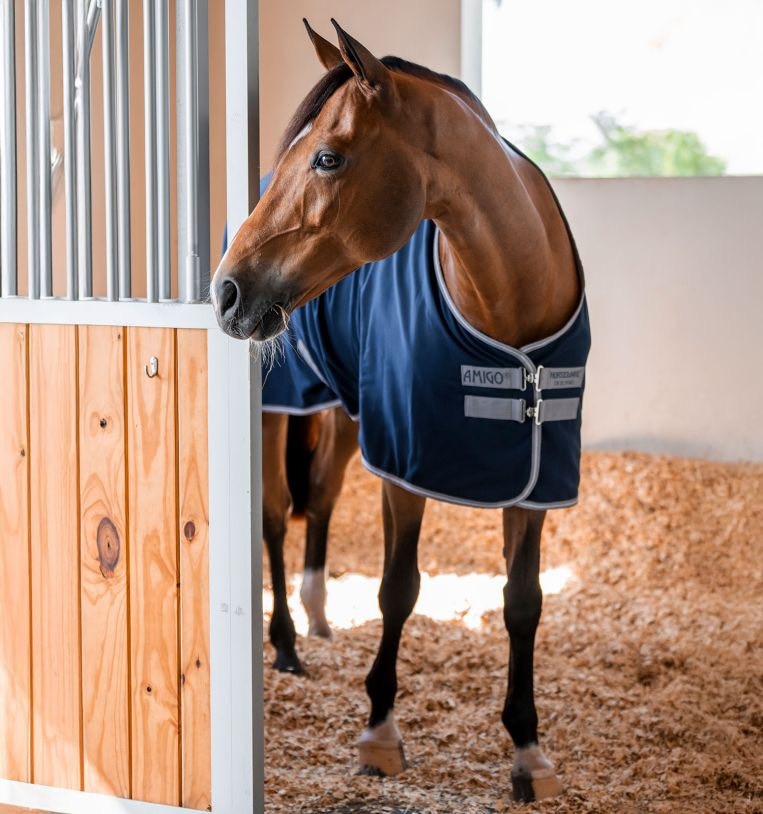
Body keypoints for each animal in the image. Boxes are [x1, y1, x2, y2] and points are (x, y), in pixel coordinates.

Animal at [212, 19, 590, 803]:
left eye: (327, 158)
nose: (225, 291)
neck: (507, 306)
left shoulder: (536, 479)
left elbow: (524, 601)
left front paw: (528, 751)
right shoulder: (405, 469)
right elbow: (397, 589)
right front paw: (380, 733)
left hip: (346, 415)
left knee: (321, 499)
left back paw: (319, 617)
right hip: (278, 408)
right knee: (274, 515)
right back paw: (285, 644)